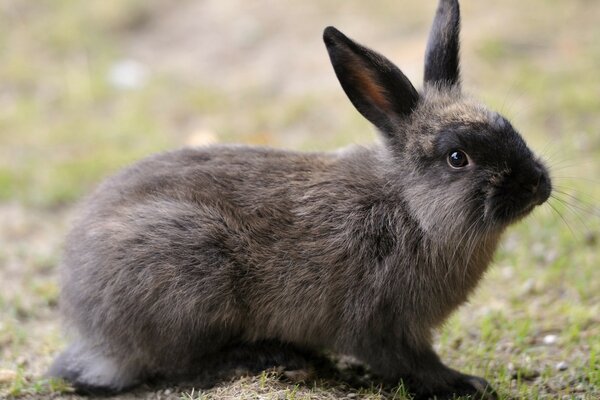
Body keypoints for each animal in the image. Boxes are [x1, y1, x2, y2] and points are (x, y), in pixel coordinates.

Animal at [49, 0, 552, 400]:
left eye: (508, 125)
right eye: (457, 158)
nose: (537, 185)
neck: (412, 209)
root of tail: (88, 323)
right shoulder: (384, 323)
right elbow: (412, 363)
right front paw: (466, 382)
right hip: (191, 276)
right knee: (179, 364)